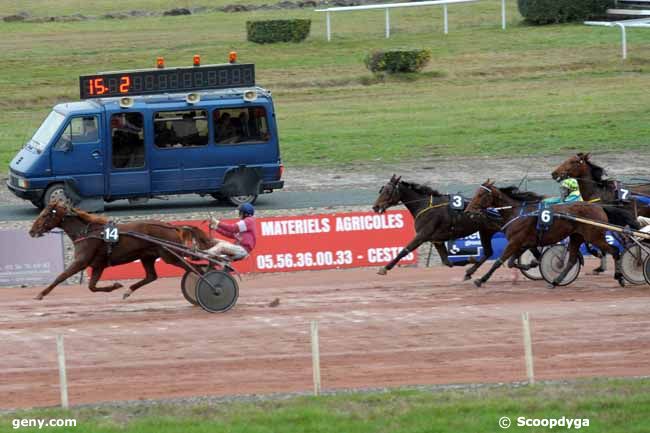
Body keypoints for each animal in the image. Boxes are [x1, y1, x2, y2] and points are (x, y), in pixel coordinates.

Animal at [29, 201, 213, 298]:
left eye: (45, 215)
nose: (31, 231)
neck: (87, 232)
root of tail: (171, 226)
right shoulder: (98, 265)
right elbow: (92, 287)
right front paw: (115, 286)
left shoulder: (81, 262)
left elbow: (61, 276)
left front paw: (42, 293)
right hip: (148, 256)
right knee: (151, 276)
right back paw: (128, 291)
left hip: (170, 255)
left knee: (195, 269)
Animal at [370, 176, 512, 280]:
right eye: (381, 190)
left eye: (388, 191)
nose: (375, 207)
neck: (424, 205)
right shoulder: (437, 240)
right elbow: (447, 262)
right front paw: (470, 260)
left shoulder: (422, 235)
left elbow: (405, 250)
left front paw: (384, 268)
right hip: (485, 231)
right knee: (488, 252)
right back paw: (470, 272)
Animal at [464, 181, 620, 288]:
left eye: (481, 195)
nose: (467, 211)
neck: (517, 213)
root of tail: (599, 207)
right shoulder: (524, 242)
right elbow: (512, 262)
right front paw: (531, 265)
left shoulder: (515, 241)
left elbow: (499, 261)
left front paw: (481, 280)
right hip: (577, 237)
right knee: (571, 260)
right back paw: (555, 282)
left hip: (594, 236)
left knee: (614, 251)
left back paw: (619, 277)